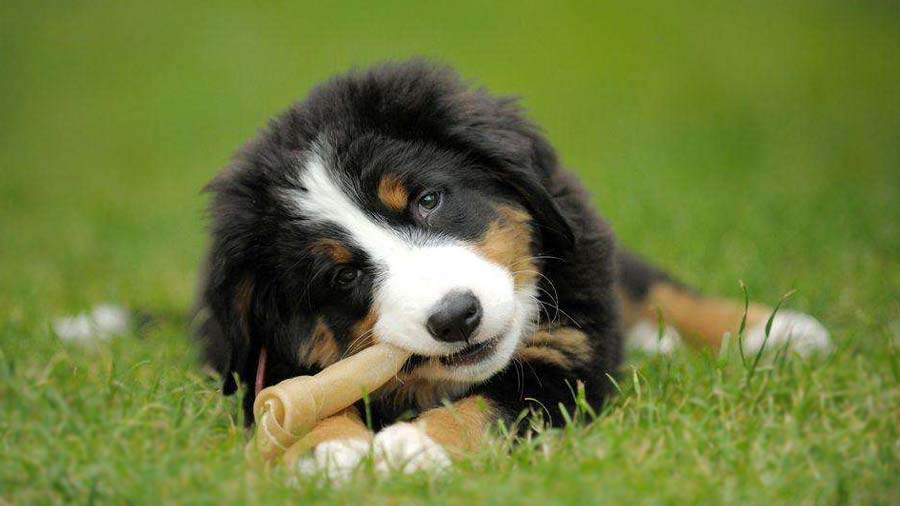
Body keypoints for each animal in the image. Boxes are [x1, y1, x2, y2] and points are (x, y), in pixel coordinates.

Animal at [193, 59, 828, 474]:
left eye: (428, 200)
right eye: (344, 276)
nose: (456, 317)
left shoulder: (569, 360)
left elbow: (490, 406)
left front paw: (413, 448)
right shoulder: (261, 365)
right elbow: (303, 399)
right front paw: (332, 451)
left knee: (652, 286)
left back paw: (777, 331)